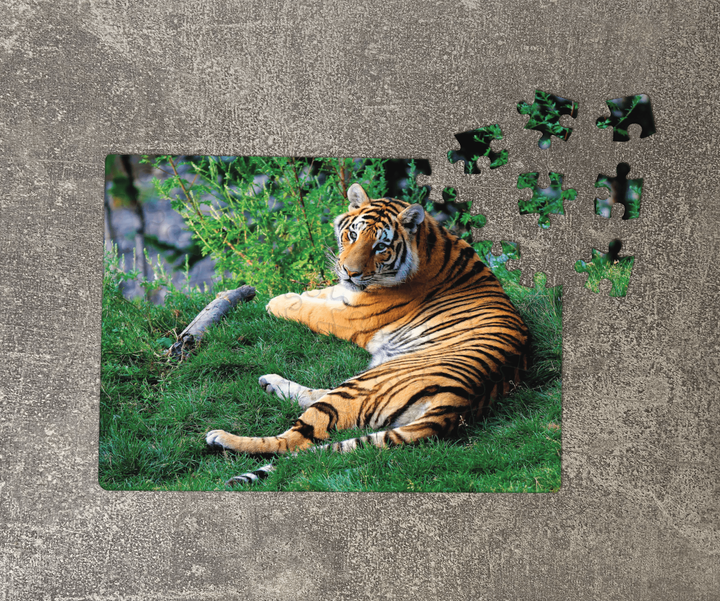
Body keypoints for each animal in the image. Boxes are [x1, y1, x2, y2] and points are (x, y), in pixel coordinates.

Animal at [206, 182, 530, 485]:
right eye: (352, 235)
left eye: (380, 247)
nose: (350, 272)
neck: (429, 243)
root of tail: (458, 404)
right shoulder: (347, 295)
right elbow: (323, 293)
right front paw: (303, 292)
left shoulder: (352, 317)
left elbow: (311, 310)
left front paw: (278, 301)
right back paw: (270, 383)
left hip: (364, 384)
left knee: (293, 441)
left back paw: (220, 437)